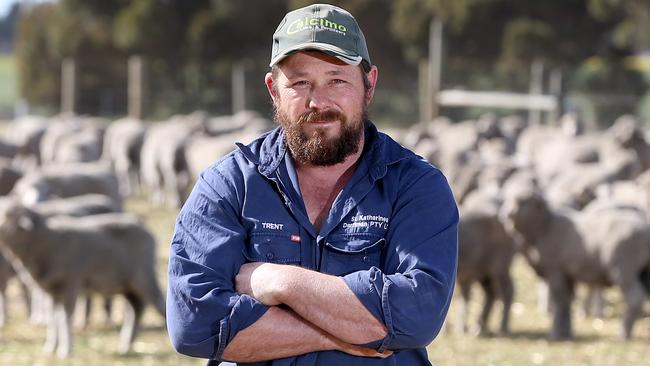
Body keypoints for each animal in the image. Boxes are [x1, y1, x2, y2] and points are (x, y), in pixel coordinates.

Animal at [0, 202, 165, 356]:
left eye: (8, 216)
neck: (46, 241)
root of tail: (145, 228)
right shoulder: (52, 291)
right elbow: (53, 318)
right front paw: (50, 348)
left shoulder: (71, 283)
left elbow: (65, 317)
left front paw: (66, 350)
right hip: (128, 284)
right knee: (135, 309)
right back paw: (125, 345)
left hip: (144, 275)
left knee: (159, 303)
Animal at [502, 187, 648, 338]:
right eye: (506, 200)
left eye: (522, 202)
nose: (506, 214)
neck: (545, 227)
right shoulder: (567, 275)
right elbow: (567, 301)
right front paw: (566, 332)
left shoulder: (555, 271)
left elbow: (560, 301)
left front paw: (555, 334)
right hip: (643, 272)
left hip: (624, 269)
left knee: (635, 297)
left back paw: (622, 334)